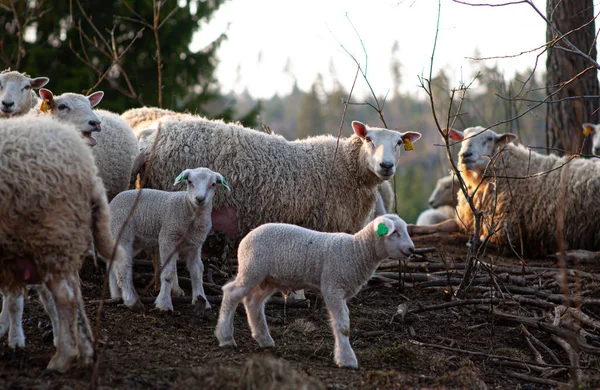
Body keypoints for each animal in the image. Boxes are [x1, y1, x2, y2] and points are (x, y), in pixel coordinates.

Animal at [0, 115, 138, 372]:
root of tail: (88, 170)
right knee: (73, 295)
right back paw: (84, 353)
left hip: (52, 235)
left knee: (66, 296)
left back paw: (62, 357)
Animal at [108, 167, 230, 310]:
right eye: (190, 181)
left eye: (213, 184)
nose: (200, 199)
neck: (187, 207)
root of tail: (113, 201)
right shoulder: (167, 238)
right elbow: (168, 273)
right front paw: (164, 304)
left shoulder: (195, 245)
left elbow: (197, 271)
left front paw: (202, 300)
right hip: (122, 232)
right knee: (123, 267)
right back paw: (131, 300)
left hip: (133, 242)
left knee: (113, 263)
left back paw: (116, 295)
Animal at [131, 116, 422, 239]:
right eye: (369, 139)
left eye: (399, 143)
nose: (386, 166)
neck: (344, 167)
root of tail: (149, 141)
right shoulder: (323, 221)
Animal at [216, 213, 418, 368]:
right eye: (395, 232)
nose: (412, 249)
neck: (356, 251)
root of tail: (247, 237)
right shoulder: (332, 287)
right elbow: (343, 326)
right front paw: (346, 359)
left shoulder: (340, 291)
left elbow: (344, 323)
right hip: (252, 268)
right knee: (231, 293)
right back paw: (225, 337)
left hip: (269, 278)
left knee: (254, 302)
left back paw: (264, 339)